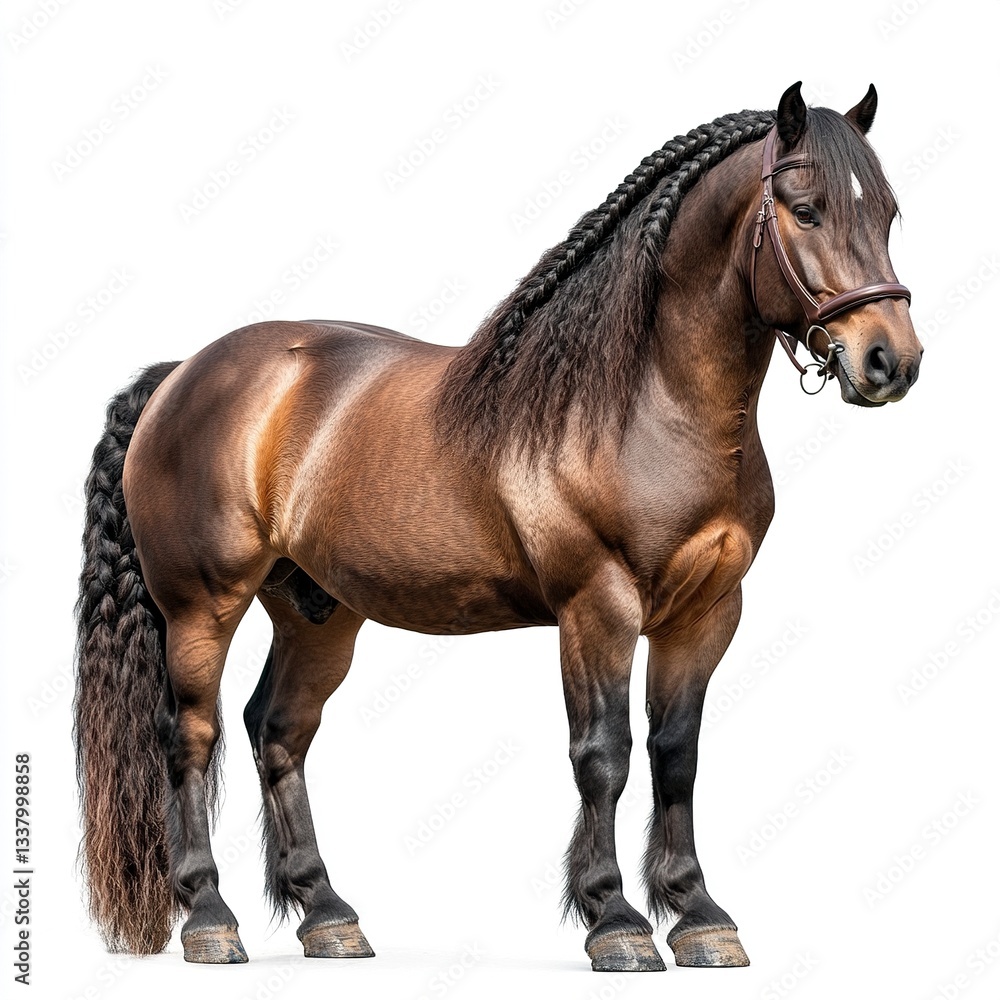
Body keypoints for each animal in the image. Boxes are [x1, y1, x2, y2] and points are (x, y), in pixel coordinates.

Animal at [73, 81, 921, 972]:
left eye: (887, 213)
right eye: (806, 209)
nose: (890, 360)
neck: (641, 403)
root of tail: (182, 376)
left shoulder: (708, 613)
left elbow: (676, 754)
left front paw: (698, 916)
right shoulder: (597, 608)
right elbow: (604, 755)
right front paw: (615, 919)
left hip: (317, 613)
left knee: (278, 730)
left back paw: (328, 914)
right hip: (202, 607)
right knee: (190, 735)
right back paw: (209, 917)